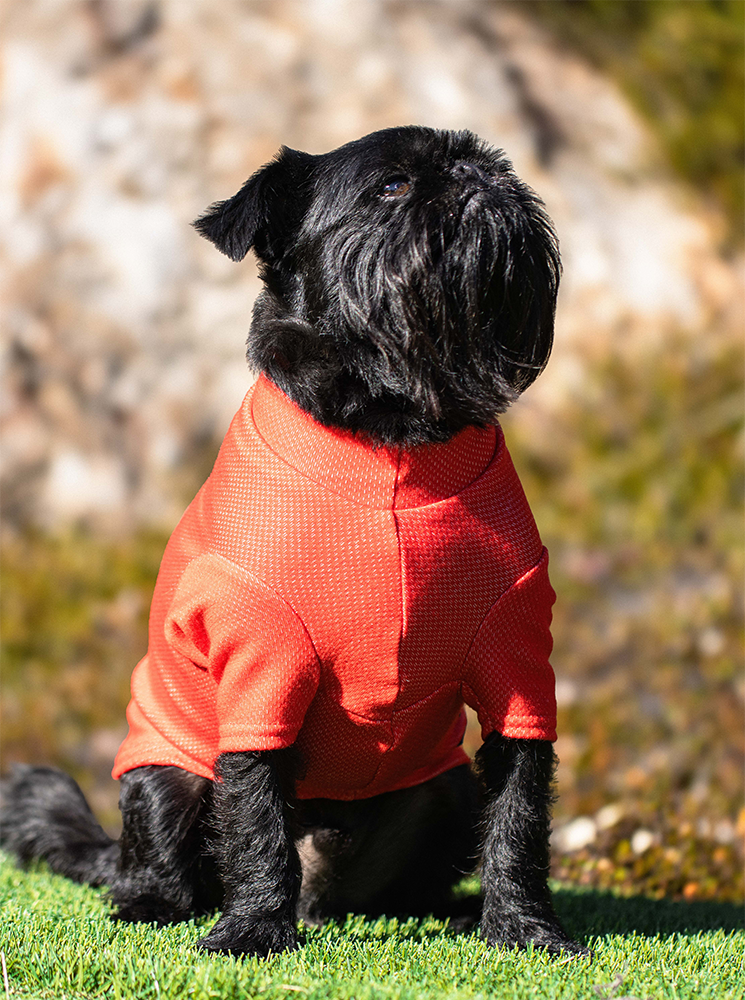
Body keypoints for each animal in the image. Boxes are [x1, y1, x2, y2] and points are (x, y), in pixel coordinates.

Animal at [0, 129, 588, 956]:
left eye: (492, 163)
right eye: (392, 186)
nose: (477, 178)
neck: (393, 438)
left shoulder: (516, 658)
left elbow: (521, 810)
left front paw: (524, 927)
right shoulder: (259, 662)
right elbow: (254, 814)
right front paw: (251, 929)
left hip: (443, 786)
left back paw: (447, 912)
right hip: (163, 778)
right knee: (161, 863)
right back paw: (156, 904)